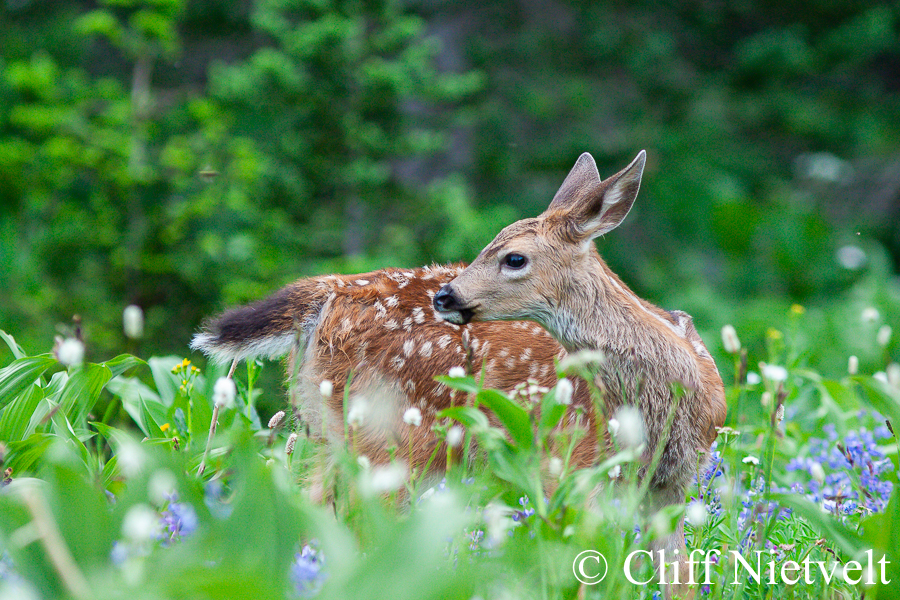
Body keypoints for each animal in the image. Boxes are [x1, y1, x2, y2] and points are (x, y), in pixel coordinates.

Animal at [192, 151, 726, 598]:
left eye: (514, 257)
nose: (445, 295)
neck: (666, 403)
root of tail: (328, 291)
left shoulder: (671, 486)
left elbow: (680, 582)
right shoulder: (572, 465)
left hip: (340, 432)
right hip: (391, 436)